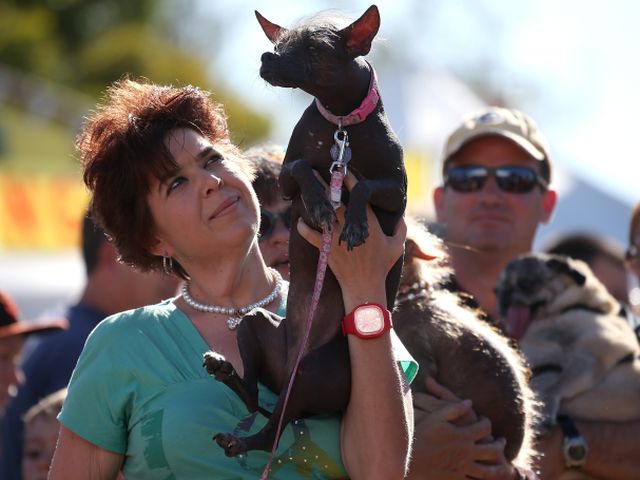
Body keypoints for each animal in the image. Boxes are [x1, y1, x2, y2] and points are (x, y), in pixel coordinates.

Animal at [496, 253, 640, 426]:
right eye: (496, 291)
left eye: (526, 285)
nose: (505, 296)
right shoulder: (543, 365)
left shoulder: (591, 354)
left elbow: (556, 386)